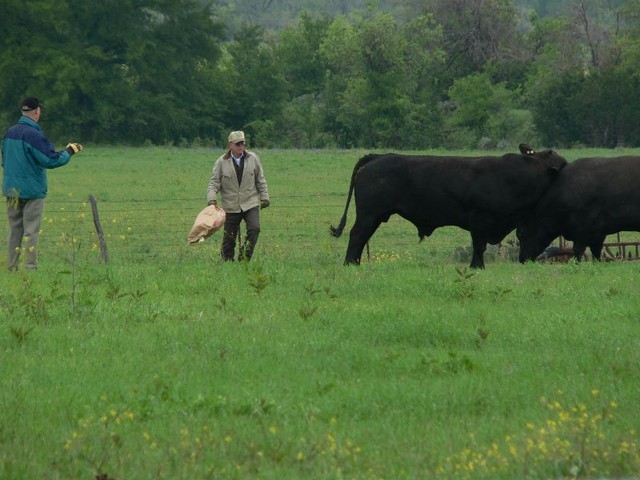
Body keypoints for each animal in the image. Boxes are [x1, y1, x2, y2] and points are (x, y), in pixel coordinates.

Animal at [330, 142, 564, 270]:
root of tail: (376, 157)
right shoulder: (479, 219)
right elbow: (478, 245)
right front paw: (477, 266)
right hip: (368, 214)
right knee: (358, 235)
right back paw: (350, 264)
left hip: (376, 216)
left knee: (362, 237)